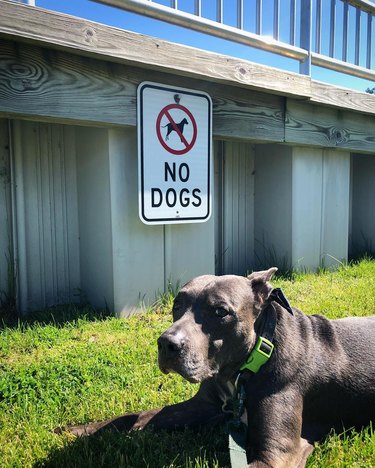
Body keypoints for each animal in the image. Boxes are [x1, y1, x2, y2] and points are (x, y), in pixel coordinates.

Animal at [63, 268, 374, 466]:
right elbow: (137, 416)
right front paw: (80, 429)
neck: (241, 372)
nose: (166, 343)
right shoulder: (202, 405)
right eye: (177, 305)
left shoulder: (278, 452)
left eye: (220, 312)